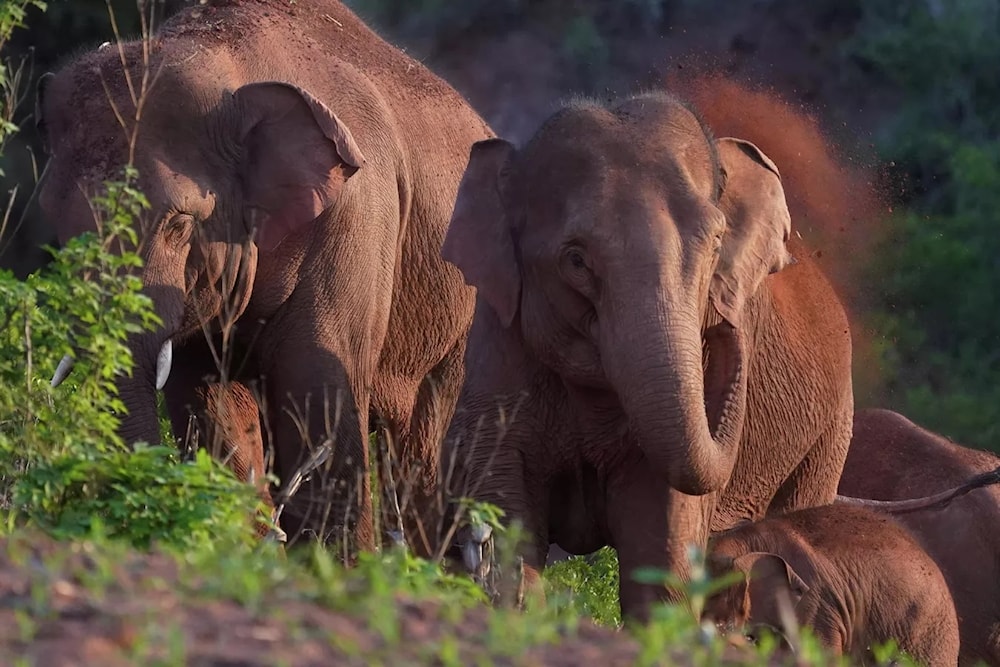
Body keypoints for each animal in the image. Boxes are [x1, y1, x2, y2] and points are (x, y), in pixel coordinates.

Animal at [35, 0, 492, 556]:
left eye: (177, 224)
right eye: (55, 223)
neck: (226, 61)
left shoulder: (354, 219)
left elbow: (317, 391)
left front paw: (338, 564)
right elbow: (207, 401)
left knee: (428, 441)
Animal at [438, 91, 852, 624]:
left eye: (716, 242)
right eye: (576, 260)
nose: (727, 320)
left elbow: (661, 546)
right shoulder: (498, 350)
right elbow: (506, 524)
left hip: (828, 437)